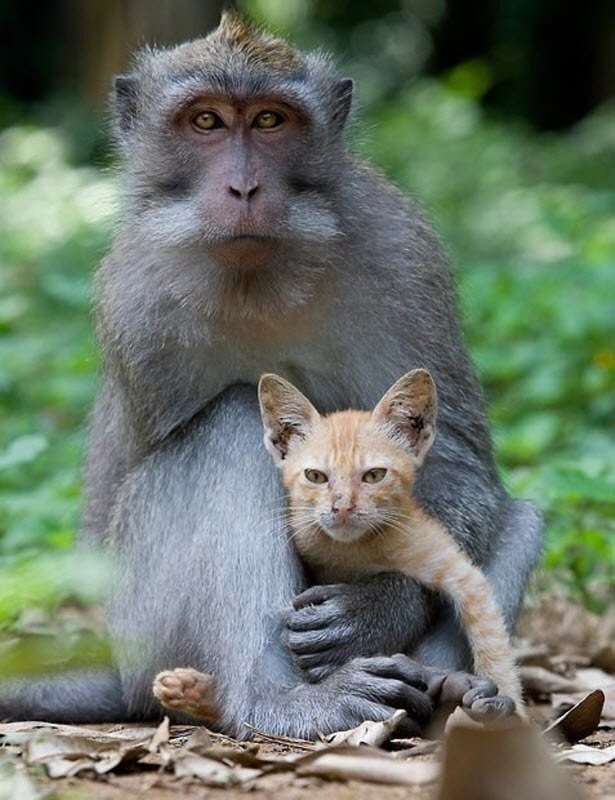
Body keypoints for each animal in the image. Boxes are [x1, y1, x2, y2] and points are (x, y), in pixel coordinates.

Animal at [258, 370, 524, 712]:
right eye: (315, 476)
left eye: (374, 475)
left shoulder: (460, 571)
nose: (342, 507)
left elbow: (491, 639)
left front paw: (508, 700)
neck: (353, 551)